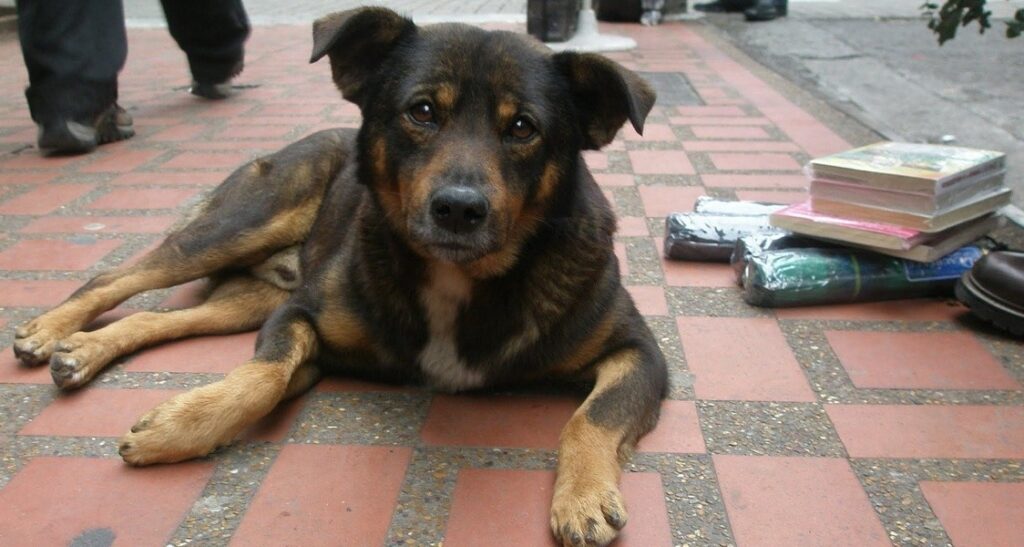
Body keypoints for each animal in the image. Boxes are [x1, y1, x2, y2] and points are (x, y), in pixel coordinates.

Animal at [12, 8, 667, 547]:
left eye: (524, 127)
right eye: (421, 111)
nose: (458, 209)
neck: (460, 278)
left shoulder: (640, 352)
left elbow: (593, 415)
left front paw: (582, 496)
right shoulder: (300, 314)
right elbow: (264, 375)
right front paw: (179, 427)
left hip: (248, 299)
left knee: (161, 315)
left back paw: (82, 352)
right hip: (240, 226)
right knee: (113, 278)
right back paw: (49, 330)